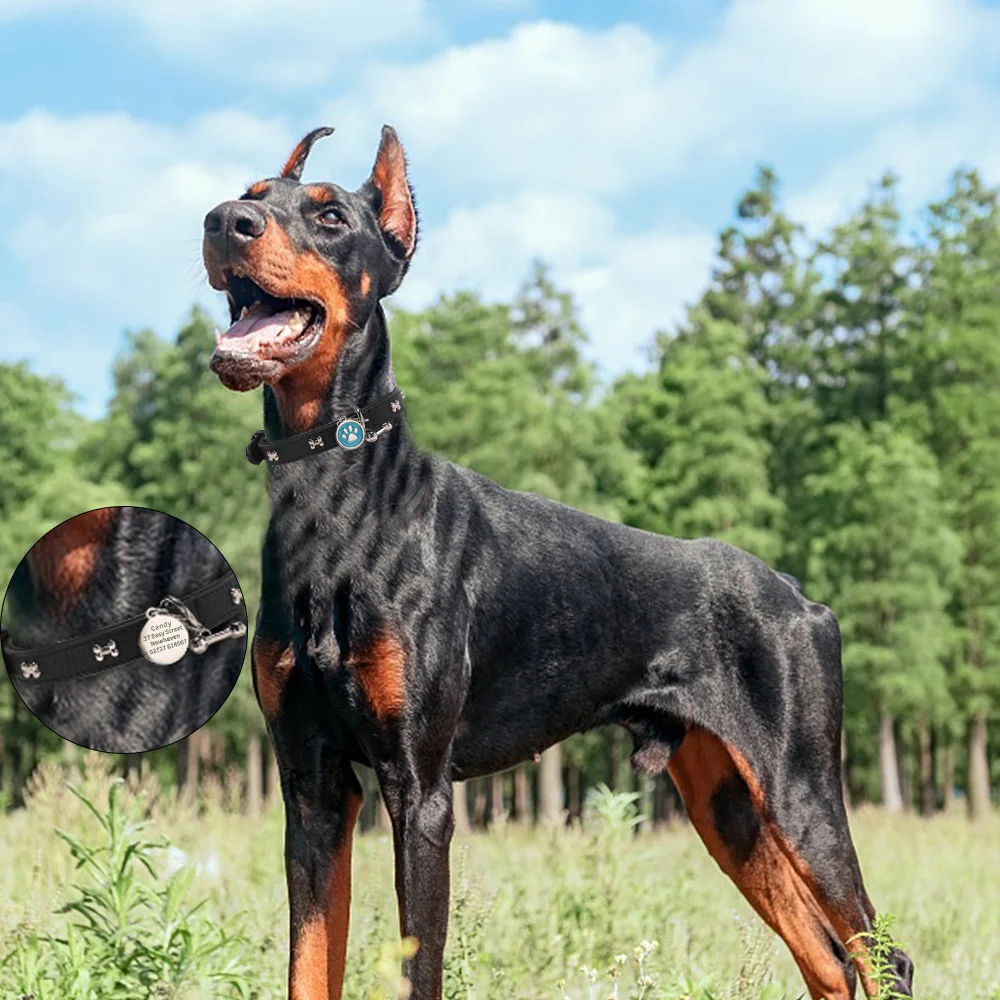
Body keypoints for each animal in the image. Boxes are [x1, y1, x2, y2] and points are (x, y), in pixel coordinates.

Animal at [203, 127, 916, 1000]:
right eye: (251, 194)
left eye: (330, 214)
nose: (221, 221)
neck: (333, 495)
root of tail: (798, 594)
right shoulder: (311, 787)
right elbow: (309, 966)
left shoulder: (419, 790)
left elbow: (418, 966)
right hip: (727, 807)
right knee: (830, 961)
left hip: (799, 790)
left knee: (882, 955)